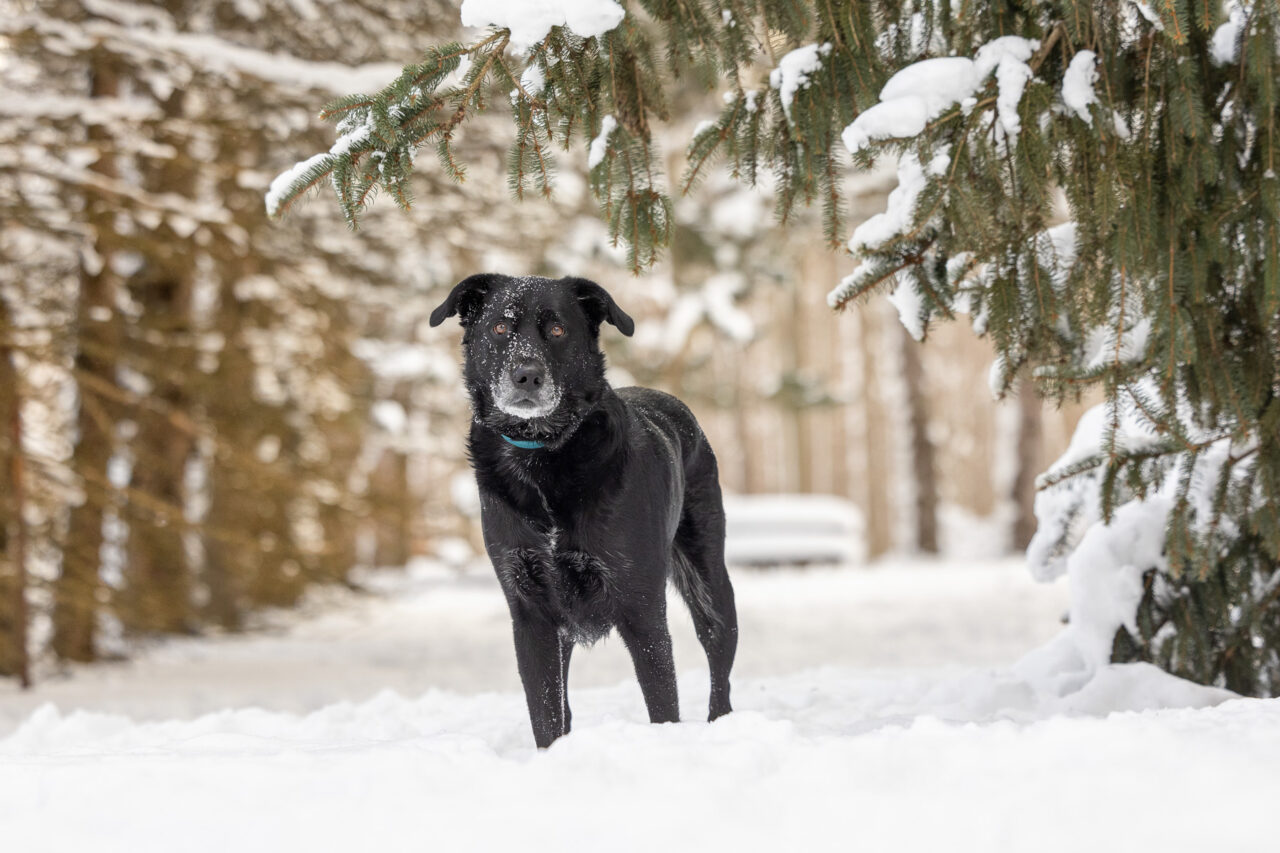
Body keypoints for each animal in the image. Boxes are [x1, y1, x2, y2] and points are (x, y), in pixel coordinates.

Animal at [432, 272, 742, 742]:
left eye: (558, 330)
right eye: (500, 328)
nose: (526, 375)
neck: (543, 454)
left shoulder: (642, 608)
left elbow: (663, 704)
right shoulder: (531, 614)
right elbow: (545, 713)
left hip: (709, 584)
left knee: (718, 665)